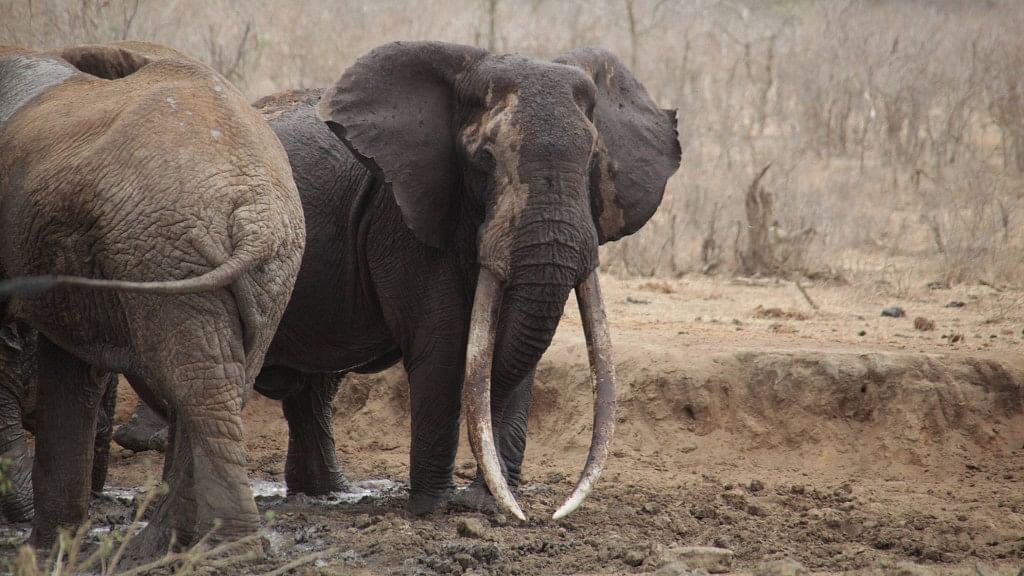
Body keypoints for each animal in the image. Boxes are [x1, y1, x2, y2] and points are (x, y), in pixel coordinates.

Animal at [0, 41, 303, 557]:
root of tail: (253, 212)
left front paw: (40, 553)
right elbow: (71, 373)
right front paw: (49, 552)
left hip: (169, 250)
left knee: (197, 386)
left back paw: (218, 550)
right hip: (258, 269)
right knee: (222, 382)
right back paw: (168, 547)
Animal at [86, 41, 679, 520]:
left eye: (593, 160)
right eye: (484, 160)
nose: (528, 512)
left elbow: (512, 347)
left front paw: (490, 507)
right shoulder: (404, 217)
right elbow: (445, 350)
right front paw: (433, 511)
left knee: (315, 384)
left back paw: (322, 493)